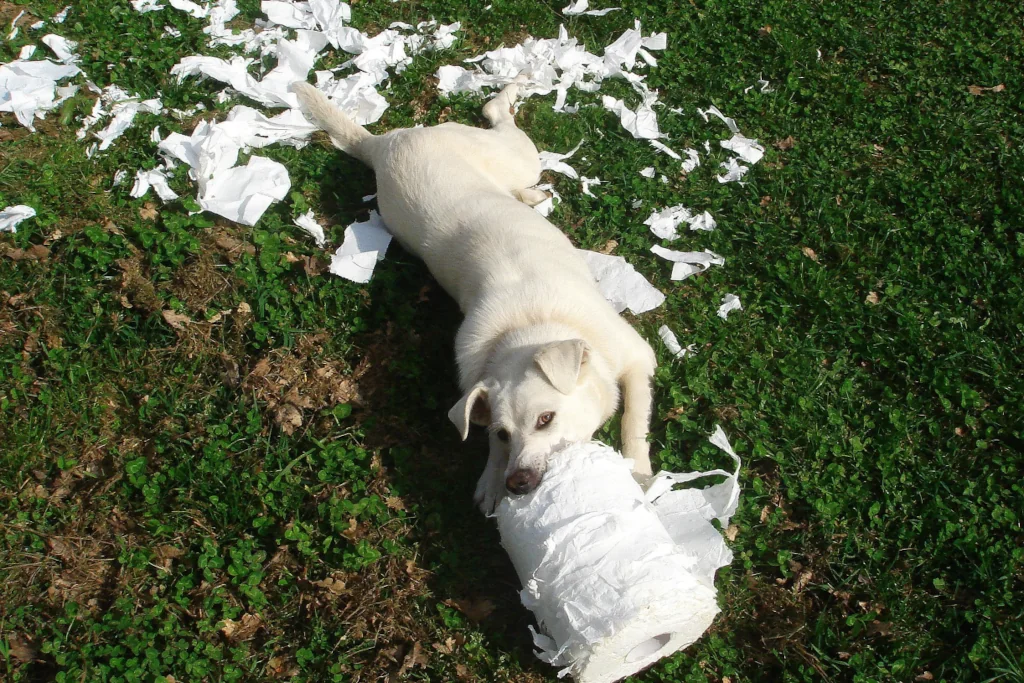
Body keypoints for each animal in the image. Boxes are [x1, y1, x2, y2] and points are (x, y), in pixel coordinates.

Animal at [292, 78, 655, 511]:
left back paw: (510, 98)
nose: (518, 484)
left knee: (498, 118)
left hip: (516, 157)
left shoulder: (639, 358)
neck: (532, 326)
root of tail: (386, 142)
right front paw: (493, 479)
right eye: (501, 433)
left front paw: (639, 472)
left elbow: (634, 419)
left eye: (545, 419)